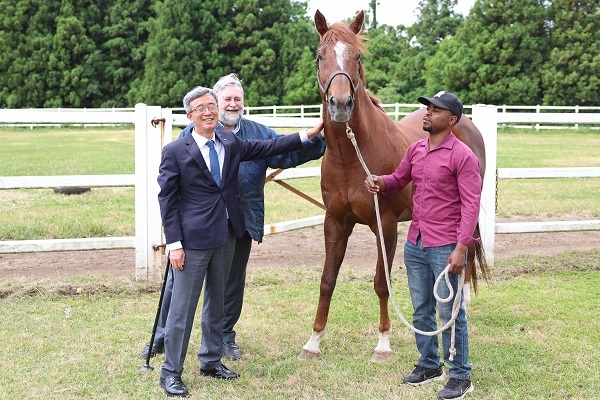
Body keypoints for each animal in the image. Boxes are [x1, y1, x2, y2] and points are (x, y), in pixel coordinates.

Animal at [298, 9, 490, 360]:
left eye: (357, 56)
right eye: (320, 56)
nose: (341, 104)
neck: (351, 156)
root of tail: (467, 122)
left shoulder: (384, 224)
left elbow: (381, 283)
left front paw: (383, 343)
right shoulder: (335, 222)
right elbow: (327, 280)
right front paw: (313, 341)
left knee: (464, 252)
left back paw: (461, 302)